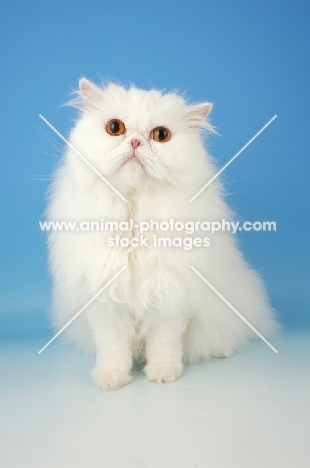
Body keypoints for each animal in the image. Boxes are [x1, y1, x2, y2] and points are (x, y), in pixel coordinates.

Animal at [47, 78, 278, 390]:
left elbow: (164, 343)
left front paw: (162, 373)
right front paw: (111, 378)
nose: (135, 142)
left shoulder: (170, 294)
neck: (134, 214)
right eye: (115, 128)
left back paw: (223, 351)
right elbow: (113, 347)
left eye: (161, 135)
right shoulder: (104, 300)